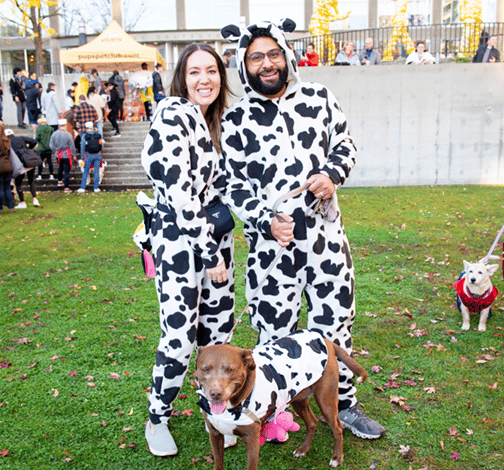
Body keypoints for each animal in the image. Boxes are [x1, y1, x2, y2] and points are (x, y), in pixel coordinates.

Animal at [195, 328, 368, 468]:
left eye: (230, 369)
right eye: (205, 369)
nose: (215, 393)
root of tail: (325, 340)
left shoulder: (252, 441)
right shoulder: (215, 435)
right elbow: (218, 463)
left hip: (326, 400)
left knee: (337, 427)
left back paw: (337, 458)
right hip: (299, 399)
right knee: (312, 422)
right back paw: (303, 449)